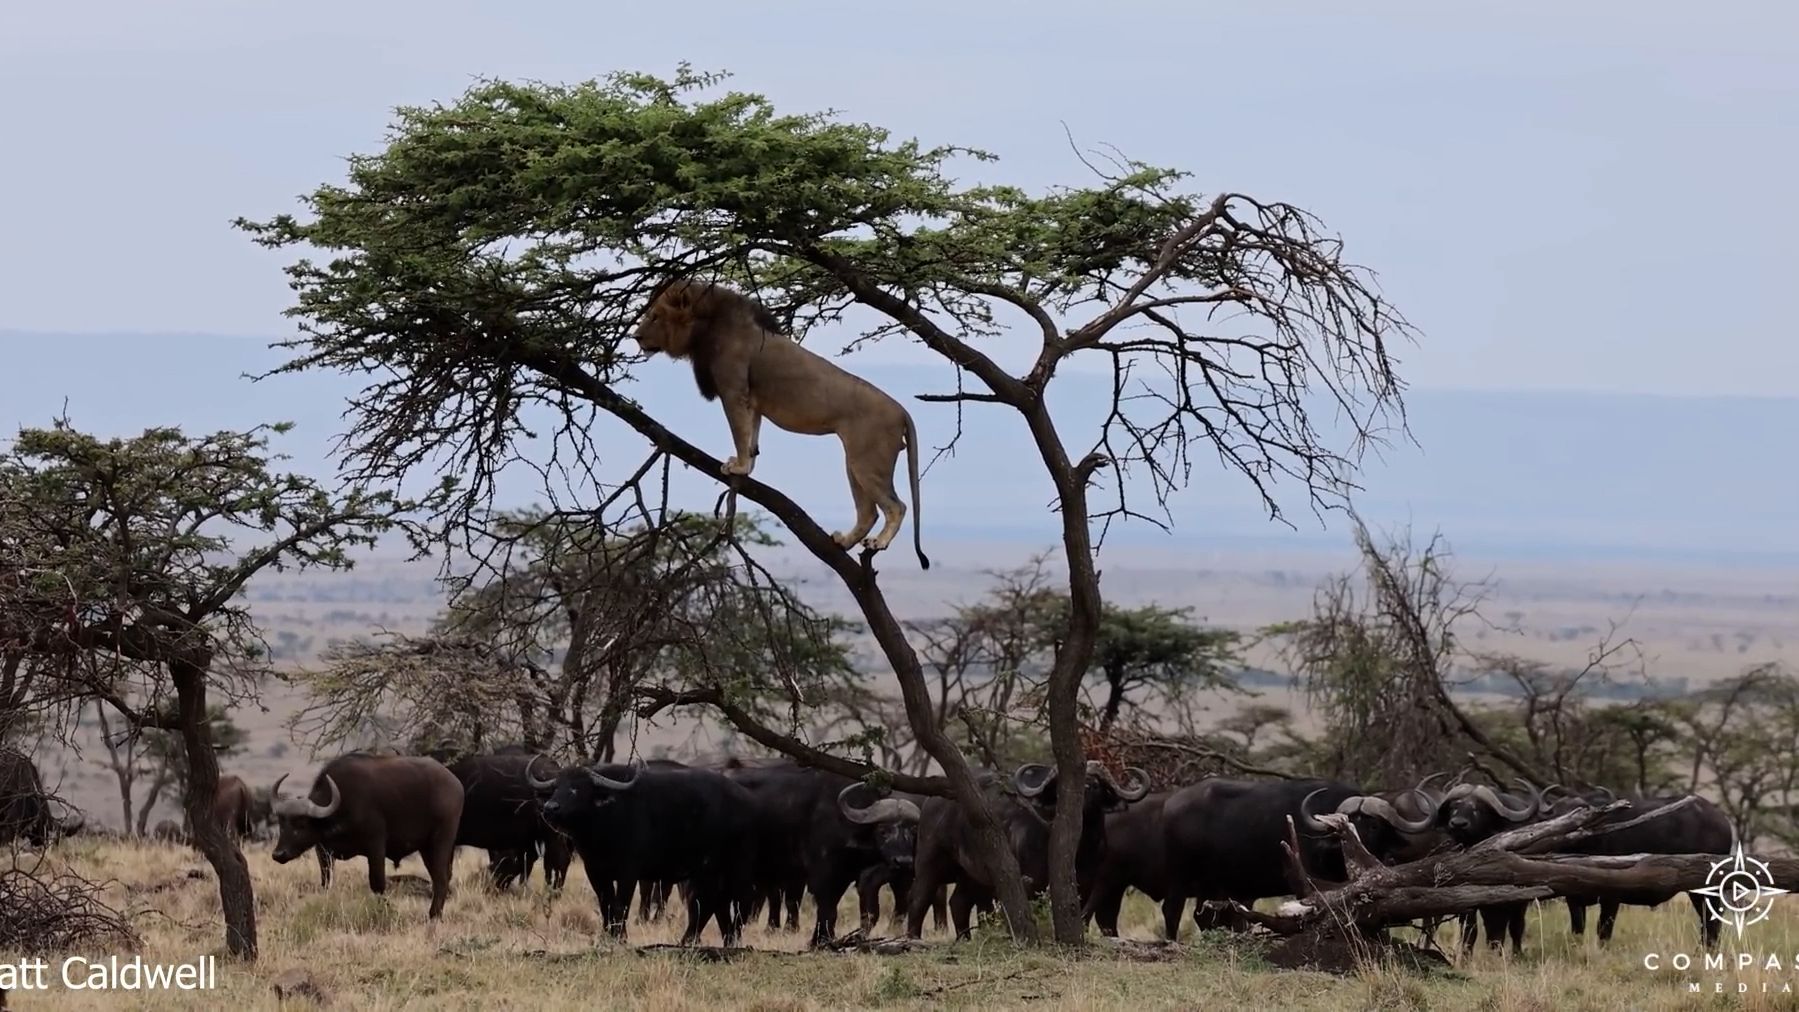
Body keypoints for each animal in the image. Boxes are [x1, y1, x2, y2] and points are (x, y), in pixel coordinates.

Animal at [268, 754, 467, 920]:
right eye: (282, 823)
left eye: (301, 824)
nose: (278, 854)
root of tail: (455, 784)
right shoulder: (323, 851)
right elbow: (326, 882)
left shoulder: (376, 846)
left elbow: (377, 883)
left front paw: (384, 910)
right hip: (426, 848)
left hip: (441, 841)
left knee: (441, 879)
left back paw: (434, 915)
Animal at [532, 754, 759, 949]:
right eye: (556, 786)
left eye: (576, 788)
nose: (550, 808)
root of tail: (747, 801)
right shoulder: (595, 871)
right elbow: (606, 903)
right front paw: (606, 936)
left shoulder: (629, 872)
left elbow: (621, 904)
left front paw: (620, 937)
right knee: (716, 904)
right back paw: (720, 940)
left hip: (727, 869)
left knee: (721, 903)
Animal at [633, 278, 935, 571]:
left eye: (655, 316)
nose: (635, 336)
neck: (706, 327)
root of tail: (902, 410)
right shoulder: (752, 401)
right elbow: (751, 436)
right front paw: (747, 466)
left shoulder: (734, 392)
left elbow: (739, 433)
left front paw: (738, 466)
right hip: (855, 463)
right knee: (868, 512)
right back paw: (845, 542)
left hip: (868, 462)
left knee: (896, 506)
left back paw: (879, 543)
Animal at [899, 762, 1151, 941]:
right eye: (1060, 785)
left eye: (1096, 784)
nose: (1084, 791)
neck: (1081, 847)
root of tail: (932, 802)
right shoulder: (1030, 882)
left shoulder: (1087, 884)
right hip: (930, 861)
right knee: (919, 897)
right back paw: (913, 938)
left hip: (973, 875)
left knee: (959, 902)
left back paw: (965, 939)